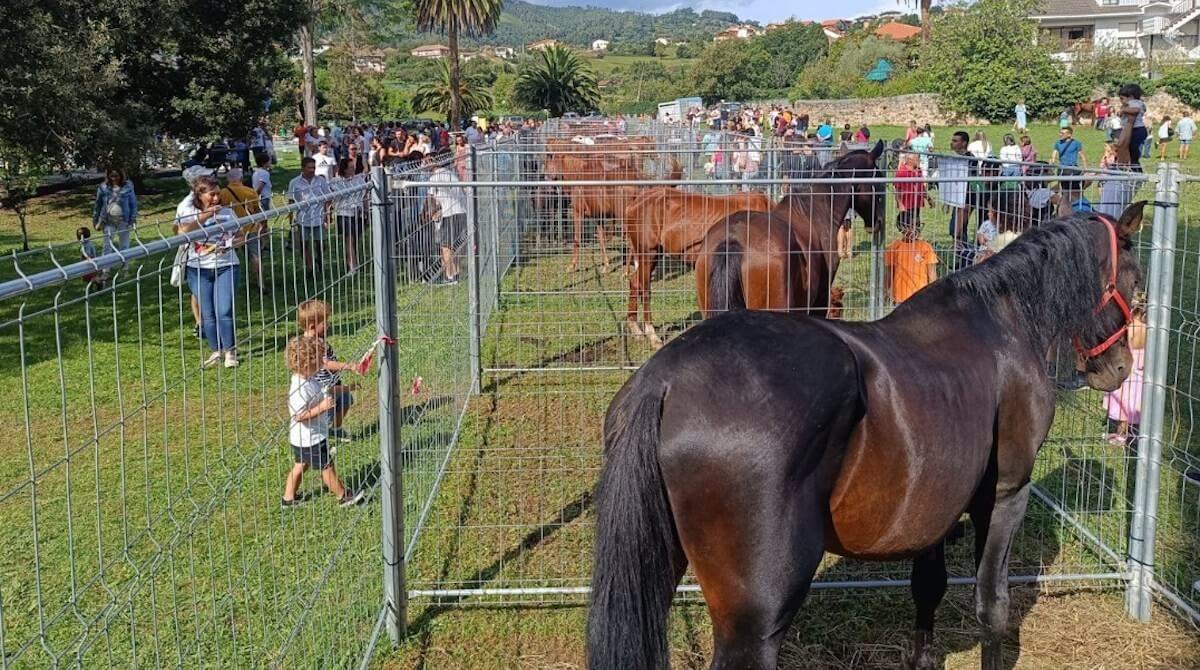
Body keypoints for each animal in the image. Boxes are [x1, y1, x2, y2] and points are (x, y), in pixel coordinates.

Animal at [585, 204, 1147, 670]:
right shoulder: (1006, 492)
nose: (1120, 369)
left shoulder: (934, 508)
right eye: (1136, 281)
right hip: (758, 614)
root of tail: (664, 380)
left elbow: (928, 587)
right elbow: (993, 605)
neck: (1000, 325)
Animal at [619, 187, 777, 345]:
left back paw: (636, 329)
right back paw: (652, 335)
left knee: (635, 282)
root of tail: (636, 201)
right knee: (644, 289)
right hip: (648, 253)